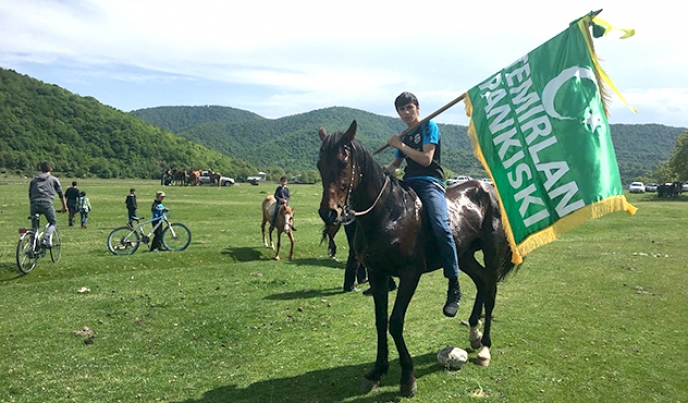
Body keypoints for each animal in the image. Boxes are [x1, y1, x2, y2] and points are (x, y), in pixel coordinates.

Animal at [318, 120, 520, 398]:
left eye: (343, 162)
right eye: (319, 164)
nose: (329, 213)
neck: (388, 214)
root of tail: (487, 187)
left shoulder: (410, 274)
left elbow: (395, 322)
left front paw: (407, 377)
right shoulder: (378, 274)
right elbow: (381, 321)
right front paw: (376, 371)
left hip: (491, 251)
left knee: (490, 289)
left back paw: (484, 348)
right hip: (464, 255)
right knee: (481, 282)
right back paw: (473, 332)